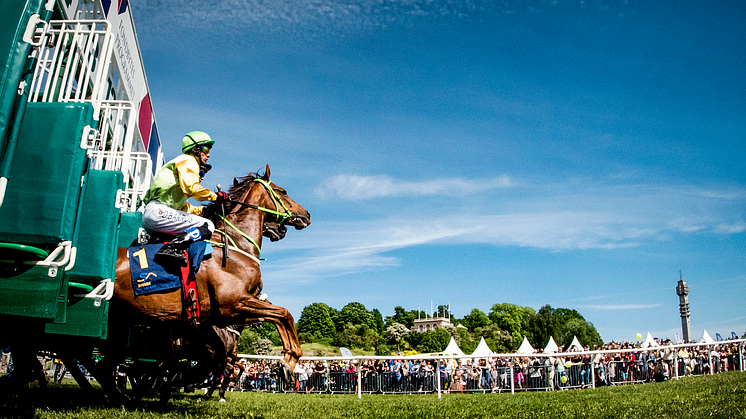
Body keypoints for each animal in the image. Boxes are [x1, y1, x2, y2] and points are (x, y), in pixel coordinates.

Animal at [88, 166, 310, 402]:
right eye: (283, 191)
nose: (307, 215)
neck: (234, 246)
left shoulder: (217, 318)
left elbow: (219, 361)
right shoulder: (232, 304)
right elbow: (284, 314)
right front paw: (288, 361)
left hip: (120, 324)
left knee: (105, 366)